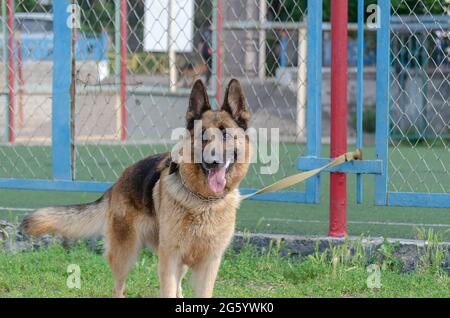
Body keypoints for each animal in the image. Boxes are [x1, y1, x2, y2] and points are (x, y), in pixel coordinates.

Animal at [21, 79, 251, 298]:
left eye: (226, 135)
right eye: (202, 135)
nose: (213, 162)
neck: (203, 201)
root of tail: (117, 183)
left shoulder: (208, 264)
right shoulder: (170, 260)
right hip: (125, 255)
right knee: (119, 288)